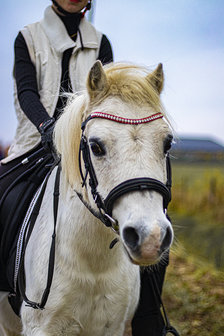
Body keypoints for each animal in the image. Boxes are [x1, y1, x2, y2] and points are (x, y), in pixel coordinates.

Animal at [0, 61, 174, 336]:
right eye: (96, 146)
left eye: (167, 143)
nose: (150, 238)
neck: (94, 262)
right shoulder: (41, 327)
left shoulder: (112, 326)